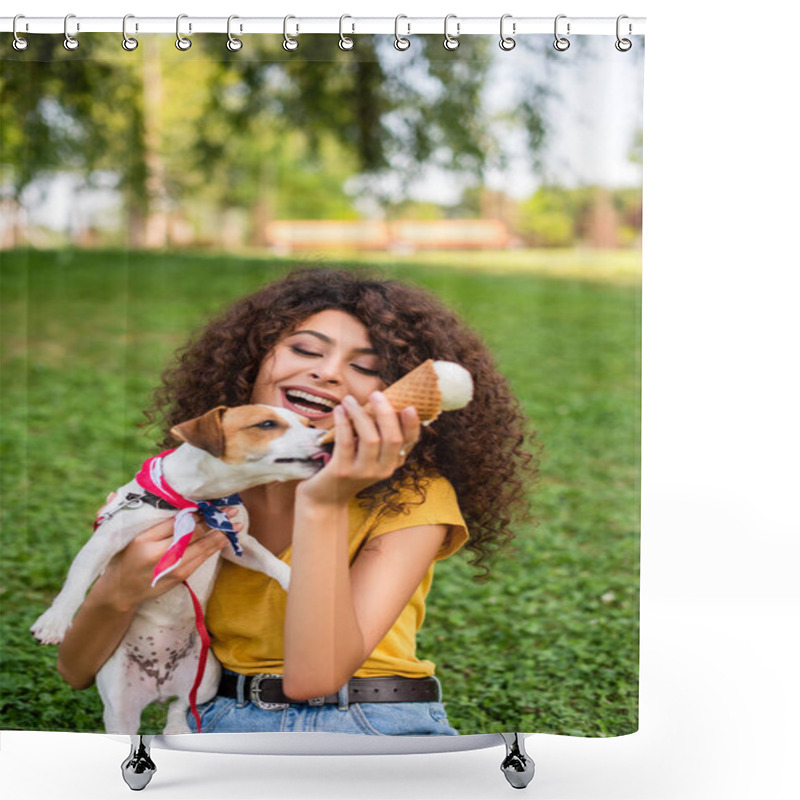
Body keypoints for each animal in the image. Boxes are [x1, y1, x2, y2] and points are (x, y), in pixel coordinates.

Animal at [31, 404, 324, 736]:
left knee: (181, 704)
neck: (196, 502)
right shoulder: (106, 540)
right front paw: (54, 621)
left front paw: (292, 579)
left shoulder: (236, 542)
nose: (326, 438)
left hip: (206, 676)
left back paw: (177, 728)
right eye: (266, 424)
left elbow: (270, 561)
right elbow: (77, 582)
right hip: (120, 706)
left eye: (309, 423)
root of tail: (160, 685)